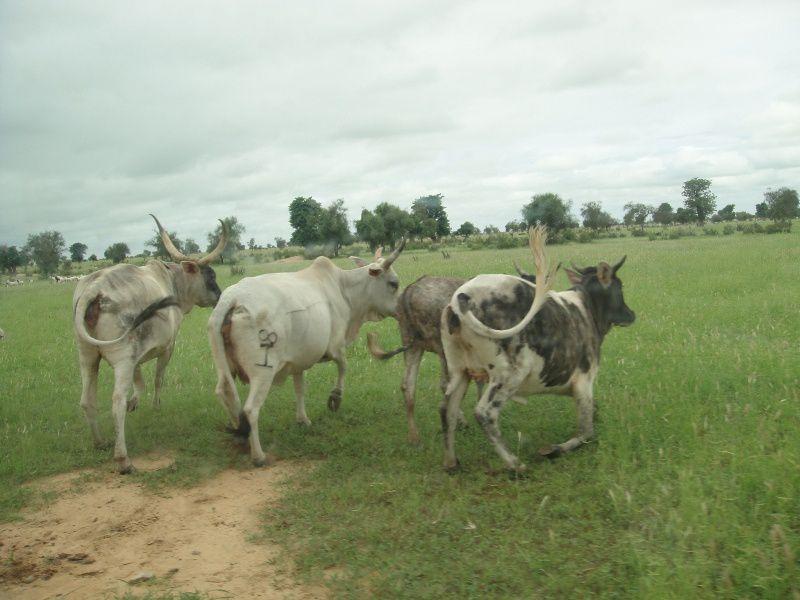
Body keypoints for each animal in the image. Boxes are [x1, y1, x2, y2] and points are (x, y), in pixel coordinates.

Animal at [72, 216, 228, 474]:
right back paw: (123, 459)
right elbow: (157, 379)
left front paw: (135, 402)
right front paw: (154, 407)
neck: (172, 282)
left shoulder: (135, 359)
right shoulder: (167, 348)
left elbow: (140, 383)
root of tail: (93, 290)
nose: (220, 296)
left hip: (87, 355)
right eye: (211, 276)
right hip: (122, 358)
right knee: (116, 402)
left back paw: (100, 442)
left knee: (86, 400)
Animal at [206, 241, 406, 466]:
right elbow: (343, 366)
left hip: (225, 368)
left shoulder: (298, 361)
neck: (344, 290)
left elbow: (300, 389)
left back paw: (241, 437)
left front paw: (302, 420)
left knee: (226, 394)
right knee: (250, 409)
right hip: (263, 371)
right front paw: (335, 398)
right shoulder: (336, 345)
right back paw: (258, 456)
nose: (402, 308)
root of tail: (232, 299)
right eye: (393, 283)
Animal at [440, 226, 636, 474]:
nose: (631, 315)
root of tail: (461, 297)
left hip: (458, 370)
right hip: (508, 373)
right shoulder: (584, 380)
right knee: (484, 413)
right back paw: (515, 464)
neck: (587, 309)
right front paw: (553, 449)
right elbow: (587, 432)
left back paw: (451, 462)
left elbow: (593, 414)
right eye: (620, 286)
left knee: (447, 410)